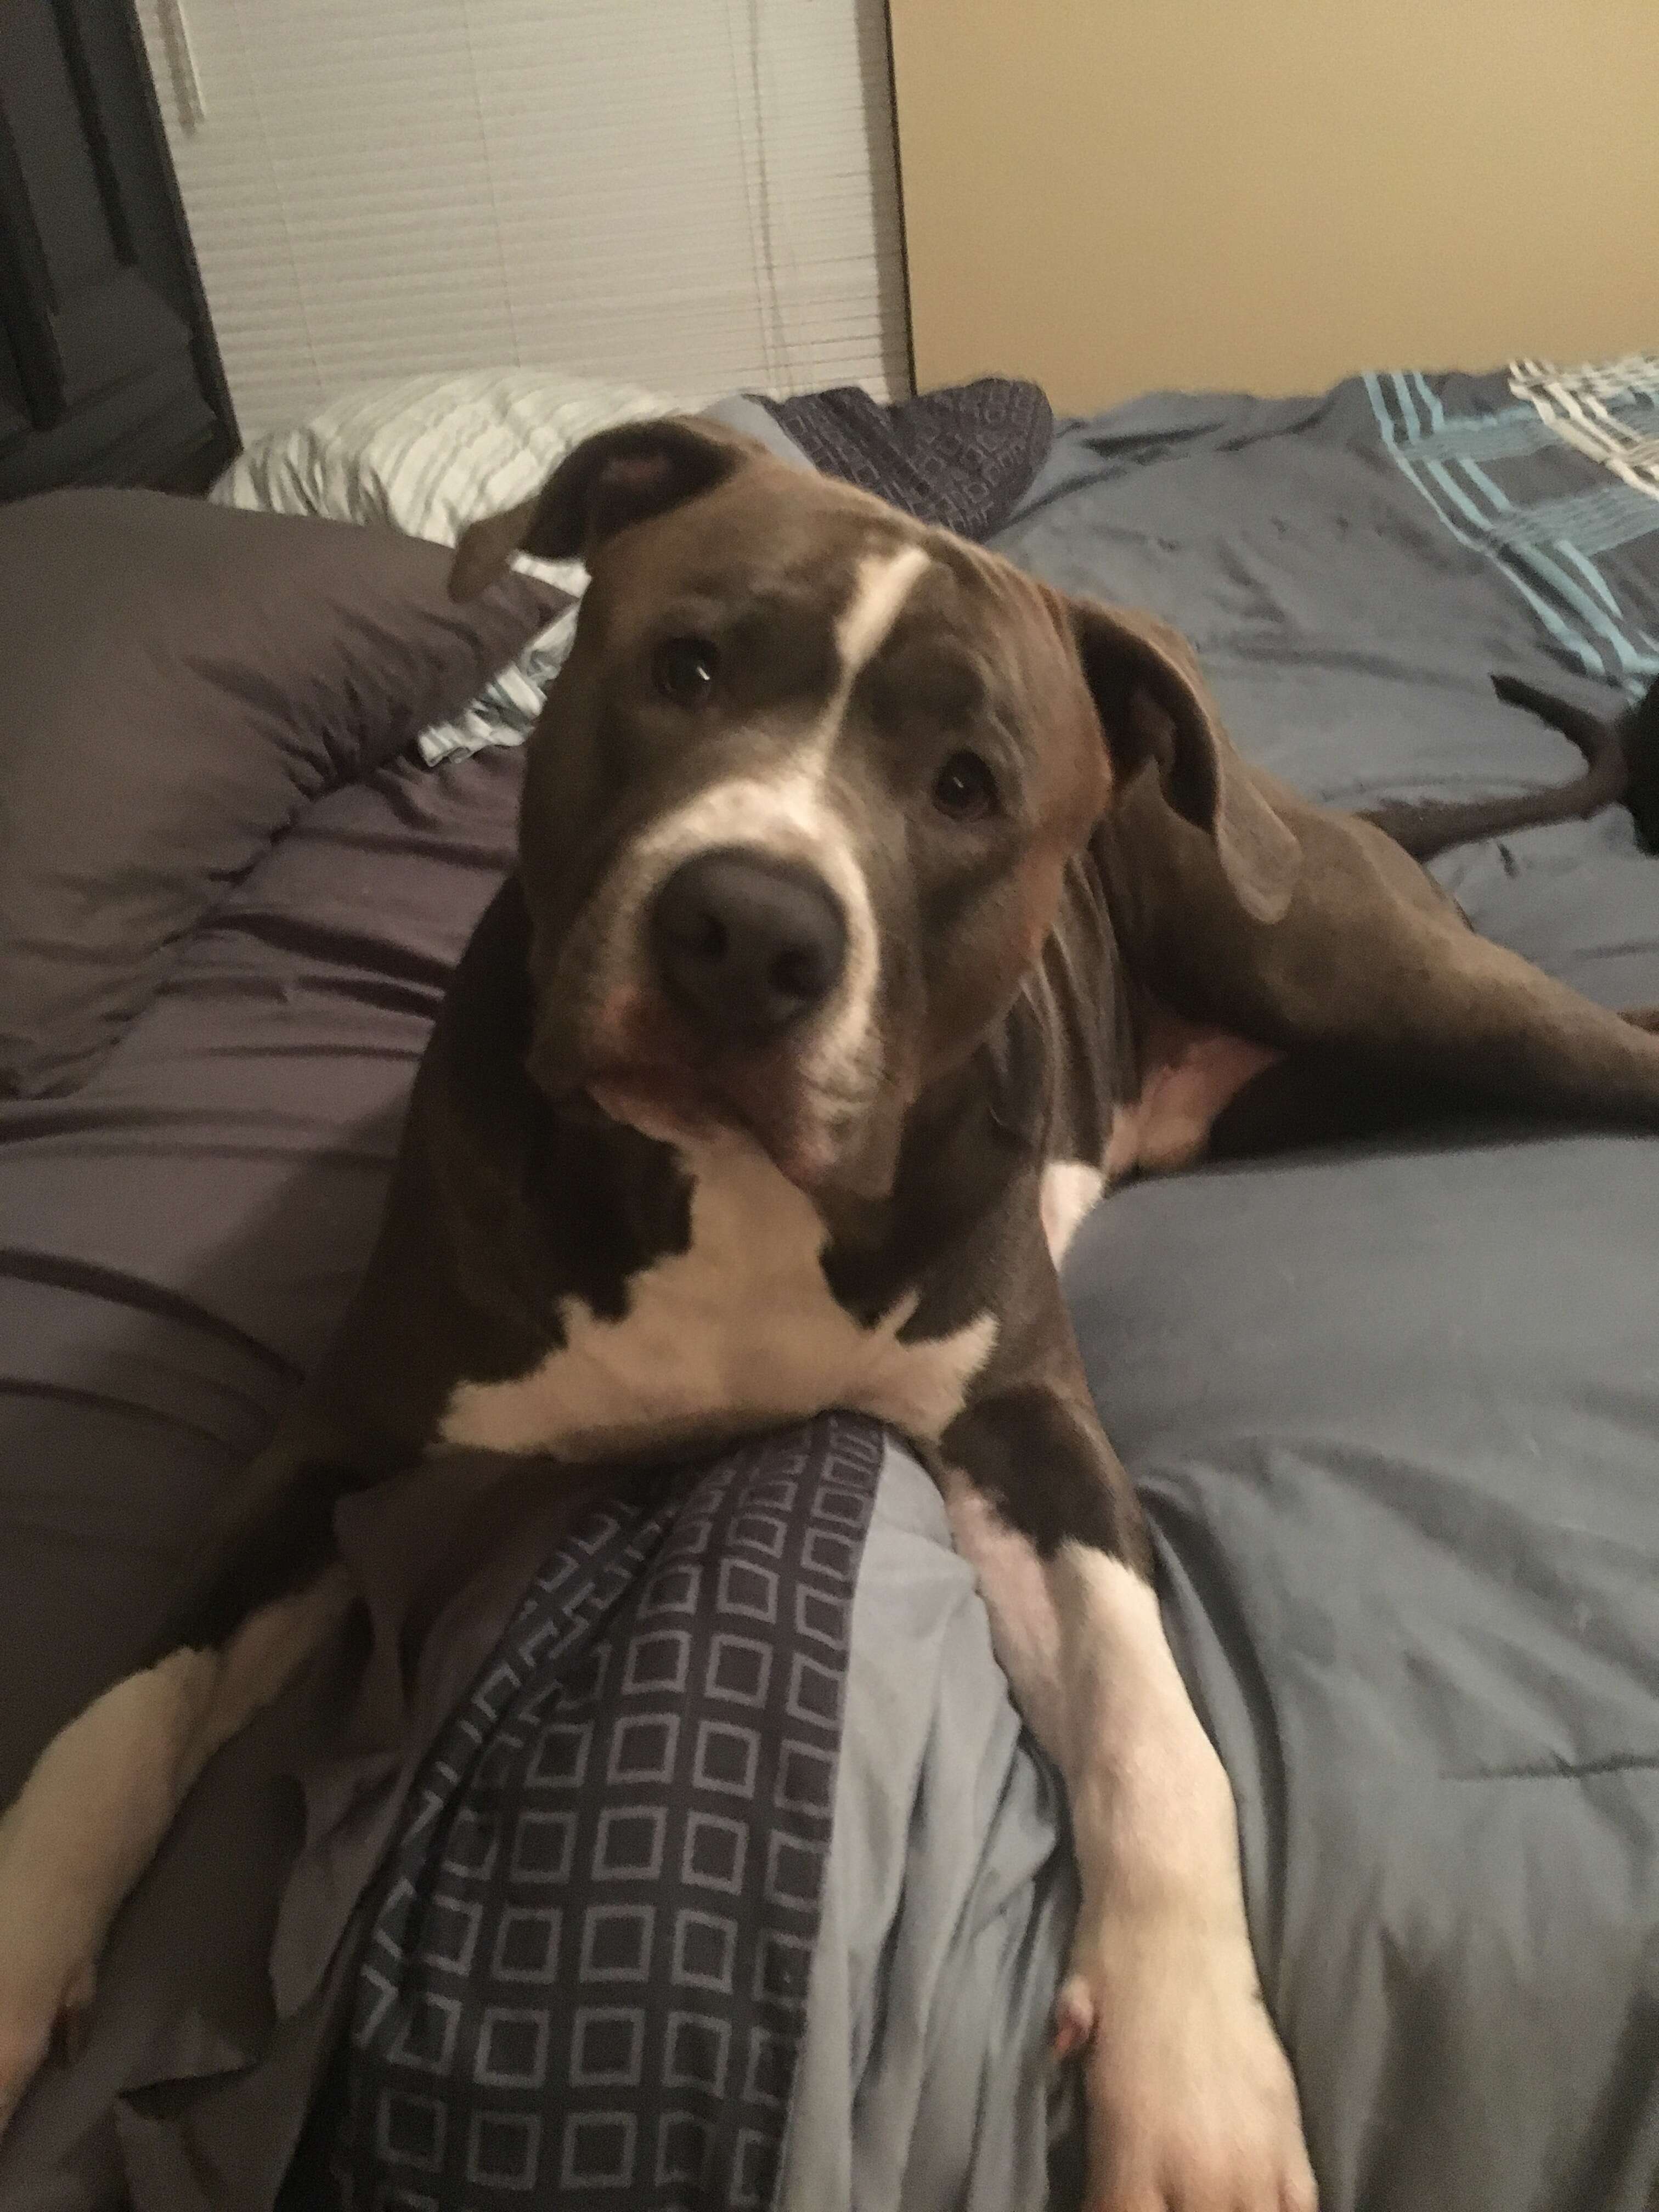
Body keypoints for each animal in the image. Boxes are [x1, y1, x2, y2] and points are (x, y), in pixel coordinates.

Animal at [3, 418, 1659, 2212]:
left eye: (969, 788)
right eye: (688, 667)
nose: (748, 930)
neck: (729, 1191)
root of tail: (1295, 808)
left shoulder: (1032, 1439)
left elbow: (1156, 1736)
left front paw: (1195, 2075)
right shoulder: (334, 1447)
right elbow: (117, 1707)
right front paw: (19, 1947)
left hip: (1367, 981)